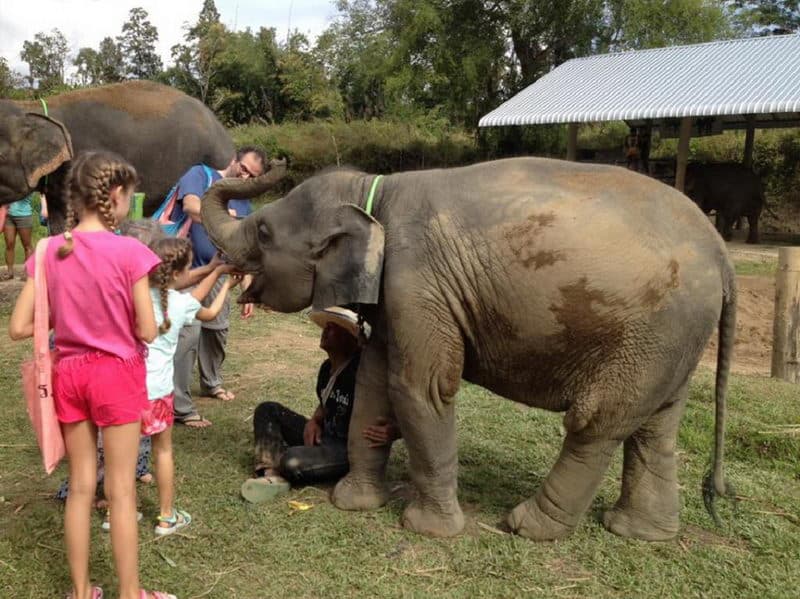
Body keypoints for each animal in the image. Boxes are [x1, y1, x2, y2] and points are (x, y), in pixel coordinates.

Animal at [198, 158, 732, 544]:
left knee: (596, 424)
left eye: (264, 233)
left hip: (651, 334)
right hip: (671, 342)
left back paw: (528, 527)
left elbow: (422, 387)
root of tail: (721, 252)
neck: (375, 191)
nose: (274, 160)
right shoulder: (400, 298)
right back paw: (639, 533)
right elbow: (373, 382)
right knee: (657, 425)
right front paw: (351, 503)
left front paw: (428, 531)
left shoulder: (417, 283)